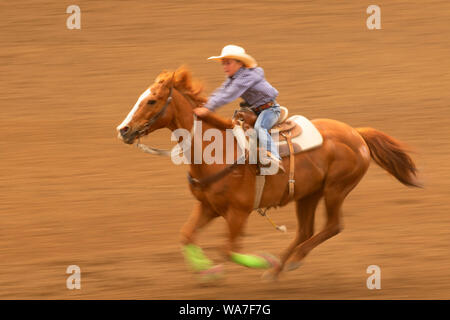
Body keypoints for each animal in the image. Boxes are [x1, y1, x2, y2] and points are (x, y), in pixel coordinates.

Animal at [116, 65, 422, 280]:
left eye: (152, 101)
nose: (123, 130)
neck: (217, 151)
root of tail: (356, 134)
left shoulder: (238, 213)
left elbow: (228, 249)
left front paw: (249, 263)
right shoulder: (207, 206)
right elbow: (187, 236)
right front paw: (205, 270)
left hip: (336, 189)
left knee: (333, 226)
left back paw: (290, 261)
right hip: (308, 194)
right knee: (305, 230)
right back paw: (277, 269)